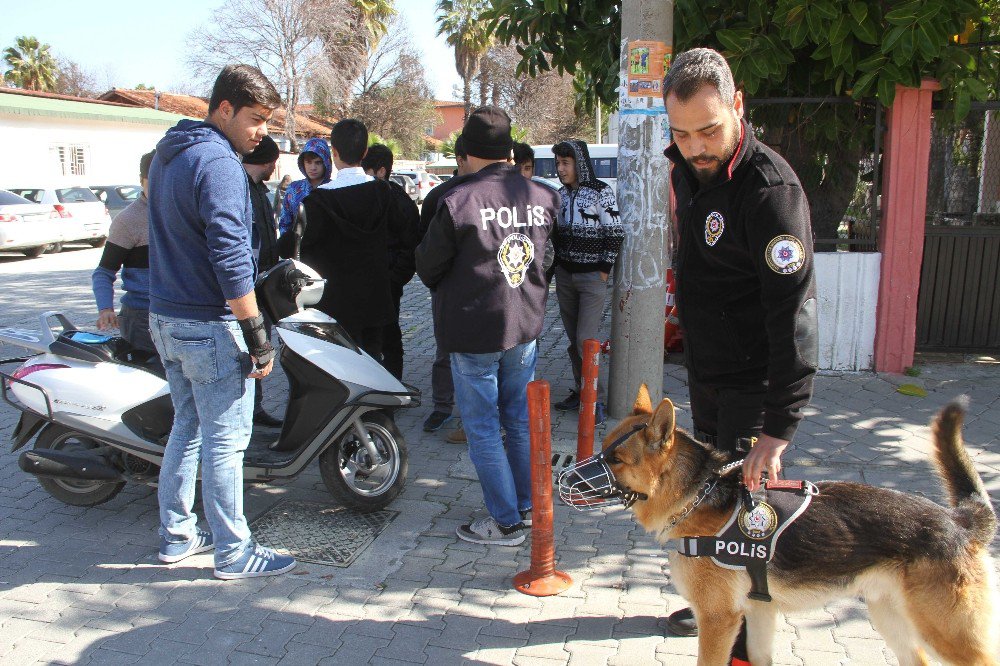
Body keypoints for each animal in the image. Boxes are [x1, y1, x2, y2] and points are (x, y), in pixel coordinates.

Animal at [560, 386, 996, 660]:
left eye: (616, 460)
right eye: (602, 449)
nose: (562, 478)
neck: (697, 497)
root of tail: (959, 521)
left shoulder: (719, 620)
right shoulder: (758, 616)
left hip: (947, 634)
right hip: (893, 620)